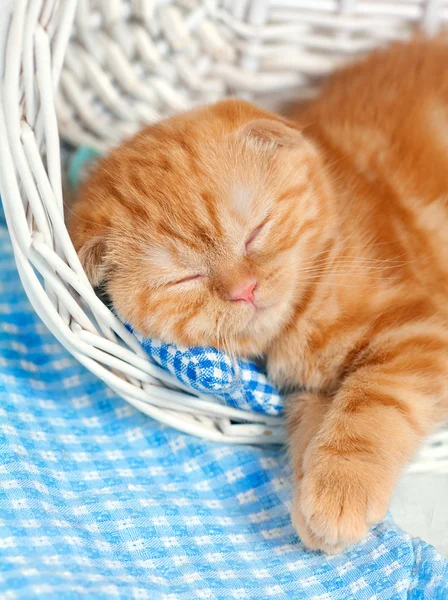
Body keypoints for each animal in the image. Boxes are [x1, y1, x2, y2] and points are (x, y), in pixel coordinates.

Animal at [68, 38, 448, 552]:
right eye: (185, 279)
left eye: (255, 233)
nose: (243, 290)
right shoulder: (309, 391)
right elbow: (313, 426)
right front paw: (310, 490)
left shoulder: (419, 329)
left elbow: (372, 406)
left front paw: (338, 492)